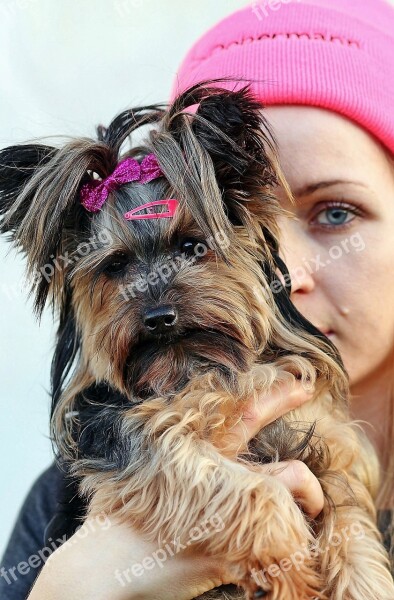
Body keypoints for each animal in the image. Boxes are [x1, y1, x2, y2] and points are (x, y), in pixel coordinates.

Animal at [1, 79, 392, 600]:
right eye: (116, 266)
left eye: (193, 246)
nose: (159, 317)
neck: (196, 368)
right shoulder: (131, 435)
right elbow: (197, 465)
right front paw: (282, 547)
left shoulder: (320, 441)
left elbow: (351, 526)